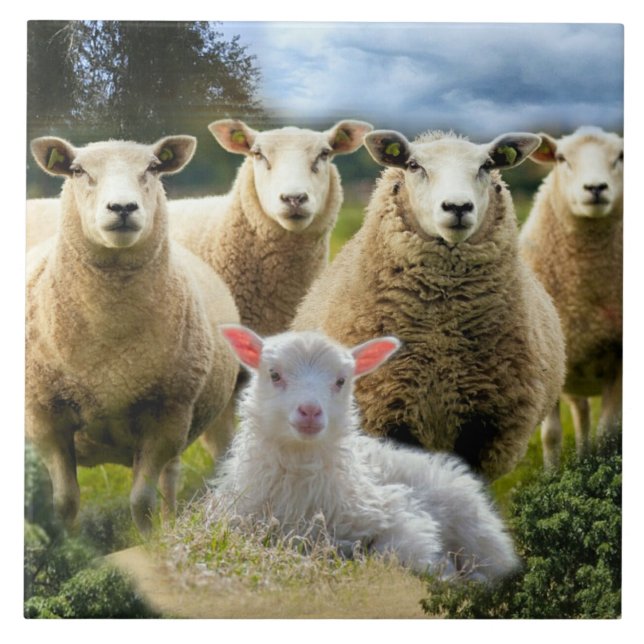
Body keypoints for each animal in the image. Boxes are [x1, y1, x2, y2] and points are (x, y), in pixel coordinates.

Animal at [26, 135, 240, 534]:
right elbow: (65, 501)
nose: (123, 207)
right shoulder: (44, 417)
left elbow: (142, 501)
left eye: (153, 168)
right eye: (77, 170)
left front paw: (150, 540)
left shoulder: (167, 416)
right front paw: (69, 541)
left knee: (170, 479)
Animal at [214, 325, 519, 581]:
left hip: (476, 530)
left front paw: (444, 572)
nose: (310, 411)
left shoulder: (398, 513)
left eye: (341, 381)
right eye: (274, 374)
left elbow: (395, 550)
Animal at [292, 129, 566, 480]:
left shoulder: (484, 424)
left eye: (487, 165)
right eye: (413, 165)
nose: (457, 206)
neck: (441, 336)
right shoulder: (386, 411)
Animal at [519, 126, 623, 467]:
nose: (595, 188)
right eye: (562, 158)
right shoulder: (547, 362)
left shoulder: (617, 359)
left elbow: (609, 432)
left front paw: (600, 465)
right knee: (581, 415)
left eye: (621, 156)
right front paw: (552, 475)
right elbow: (551, 435)